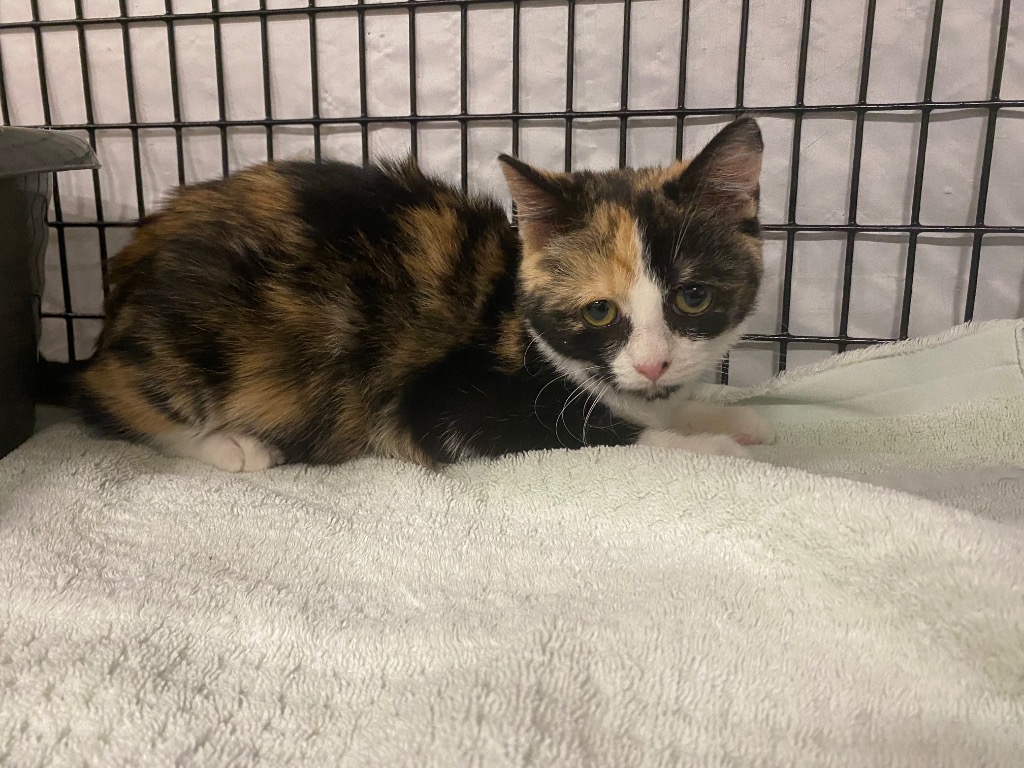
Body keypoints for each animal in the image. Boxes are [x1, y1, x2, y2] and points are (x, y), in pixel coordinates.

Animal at [77, 117, 773, 471]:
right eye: (600, 310)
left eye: (692, 297)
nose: (654, 363)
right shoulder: (439, 407)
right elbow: (597, 434)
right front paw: (704, 447)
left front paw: (722, 417)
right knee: (110, 404)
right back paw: (231, 445)